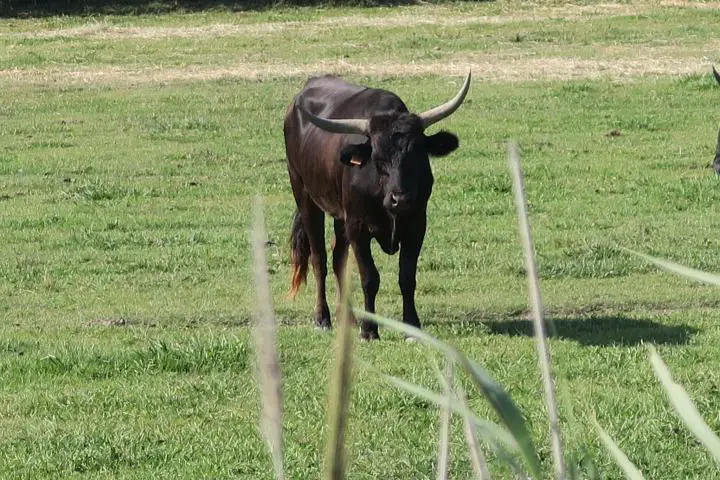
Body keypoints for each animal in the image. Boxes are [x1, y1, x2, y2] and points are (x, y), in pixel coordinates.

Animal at [282, 73, 472, 340]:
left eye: (417, 155)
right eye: (378, 159)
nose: (401, 199)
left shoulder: (416, 226)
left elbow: (407, 276)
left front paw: (412, 326)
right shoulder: (358, 229)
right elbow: (370, 278)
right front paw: (369, 329)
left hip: (340, 216)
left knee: (338, 258)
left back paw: (349, 318)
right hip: (305, 196)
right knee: (319, 258)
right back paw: (322, 318)